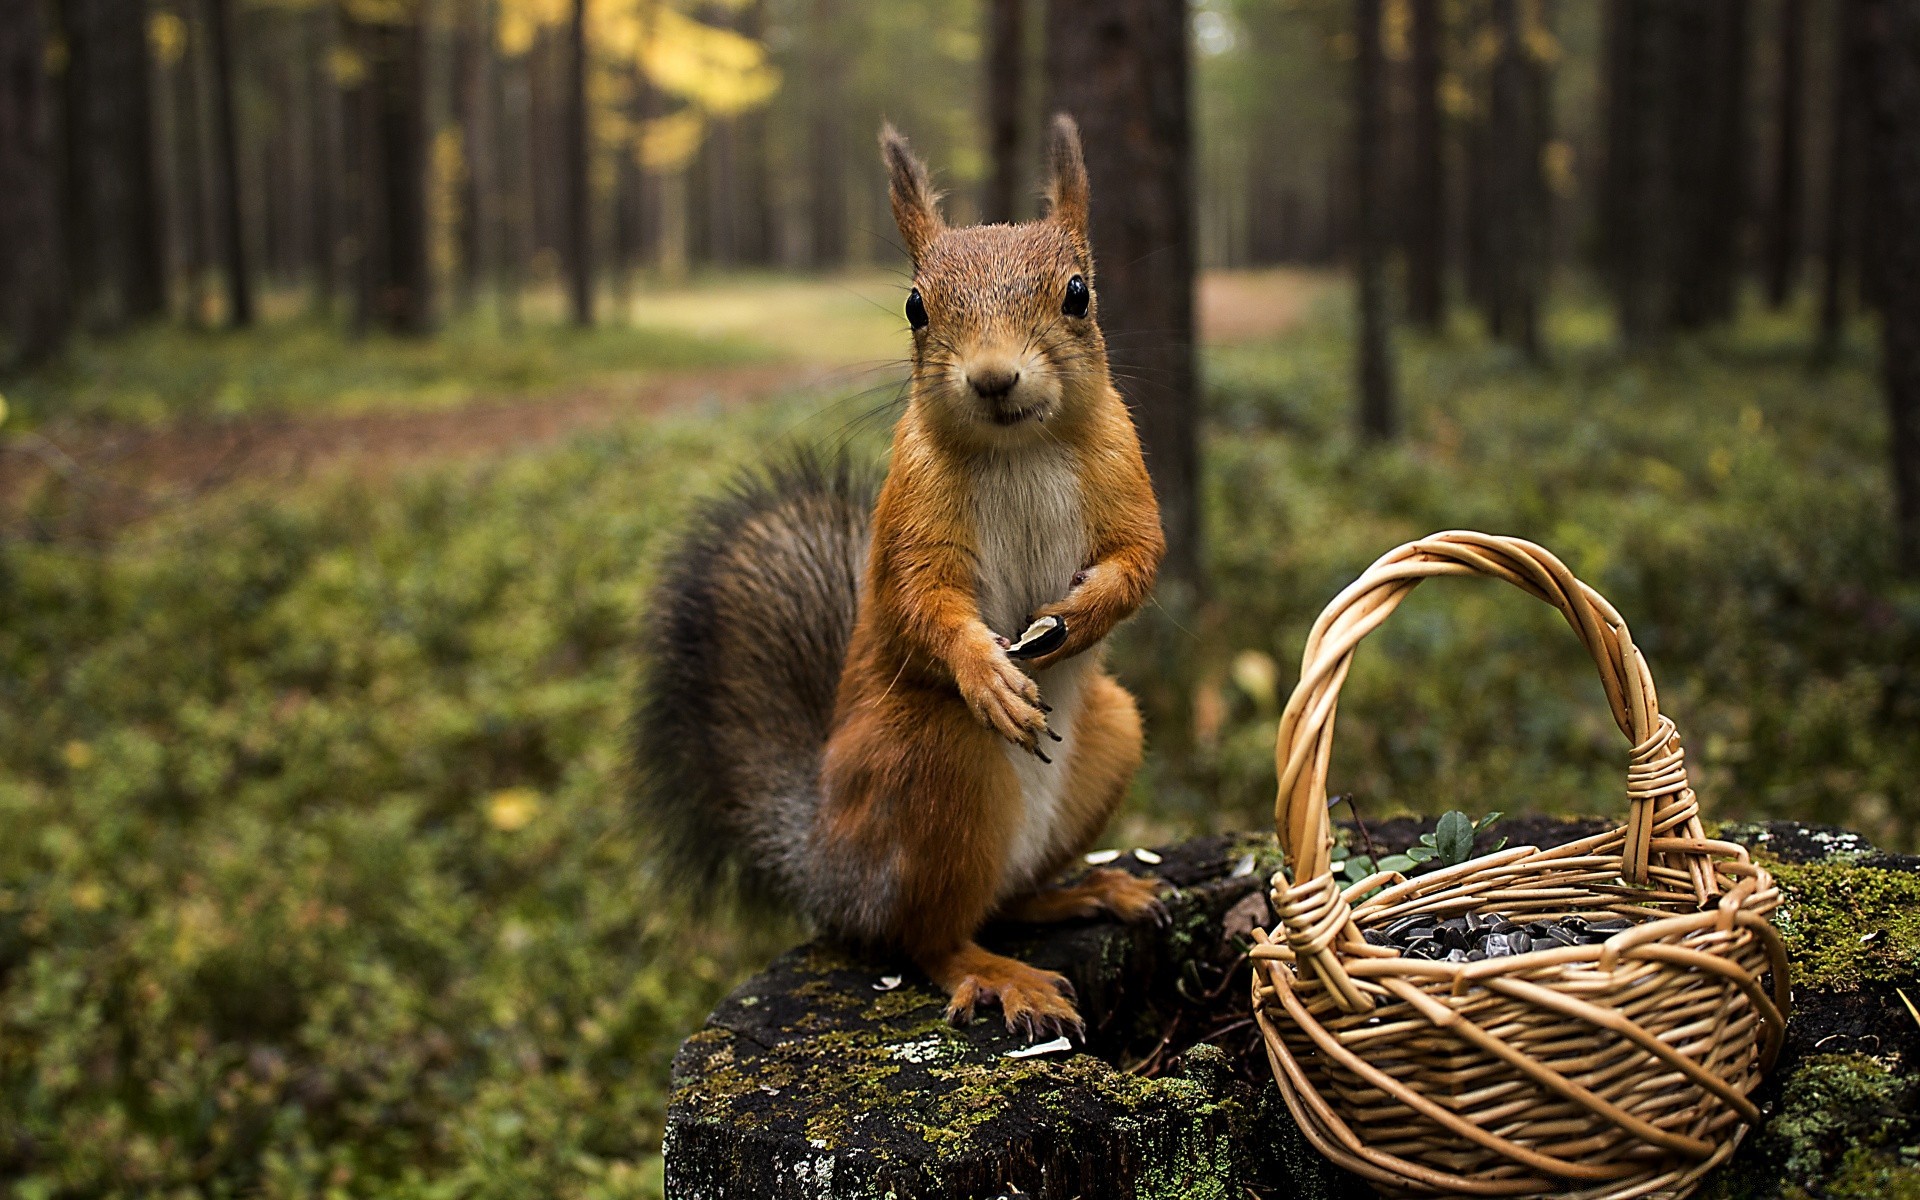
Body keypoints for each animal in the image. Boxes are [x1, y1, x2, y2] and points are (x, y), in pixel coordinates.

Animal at [637, 114, 1159, 1036]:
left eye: (1078, 294)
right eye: (916, 306)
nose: (993, 377)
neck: (1020, 447)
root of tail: (828, 869)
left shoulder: (1126, 476)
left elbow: (1139, 559)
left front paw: (1080, 617)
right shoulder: (912, 513)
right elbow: (922, 602)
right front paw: (988, 672)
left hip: (1112, 735)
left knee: (1003, 900)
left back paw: (1085, 891)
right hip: (931, 761)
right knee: (926, 936)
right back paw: (999, 973)